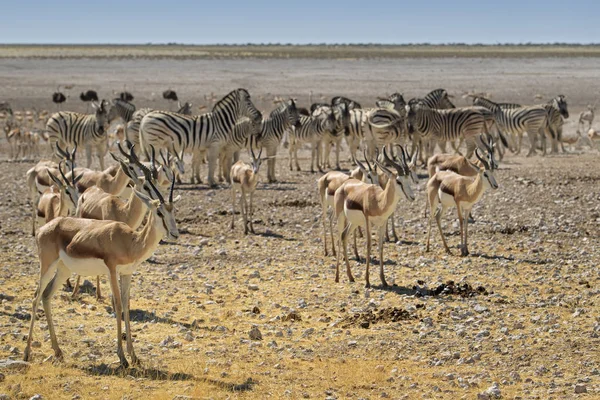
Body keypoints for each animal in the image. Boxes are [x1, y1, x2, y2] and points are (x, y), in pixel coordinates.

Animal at [22, 173, 180, 368]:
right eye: (159, 212)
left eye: (173, 210)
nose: (175, 234)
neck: (130, 242)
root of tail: (43, 229)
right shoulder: (112, 272)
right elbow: (117, 305)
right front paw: (122, 357)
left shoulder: (127, 273)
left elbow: (126, 305)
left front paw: (134, 356)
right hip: (47, 266)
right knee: (36, 297)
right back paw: (27, 353)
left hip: (63, 270)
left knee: (46, 296)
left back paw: (58, 352)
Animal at [332, 147, 412, 288]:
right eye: (399, 181)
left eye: (409, 178)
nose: (412, 197)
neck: (378, 201)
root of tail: (344, 185)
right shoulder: (368, 223)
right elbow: (369, 245)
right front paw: (367, 281)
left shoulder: (382, 224)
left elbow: (380, 247)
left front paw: (383, 280)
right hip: (341, 217)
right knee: (339, 237)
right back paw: (337, 277)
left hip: (353, 222)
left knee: (344, 236)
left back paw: (350, 276)